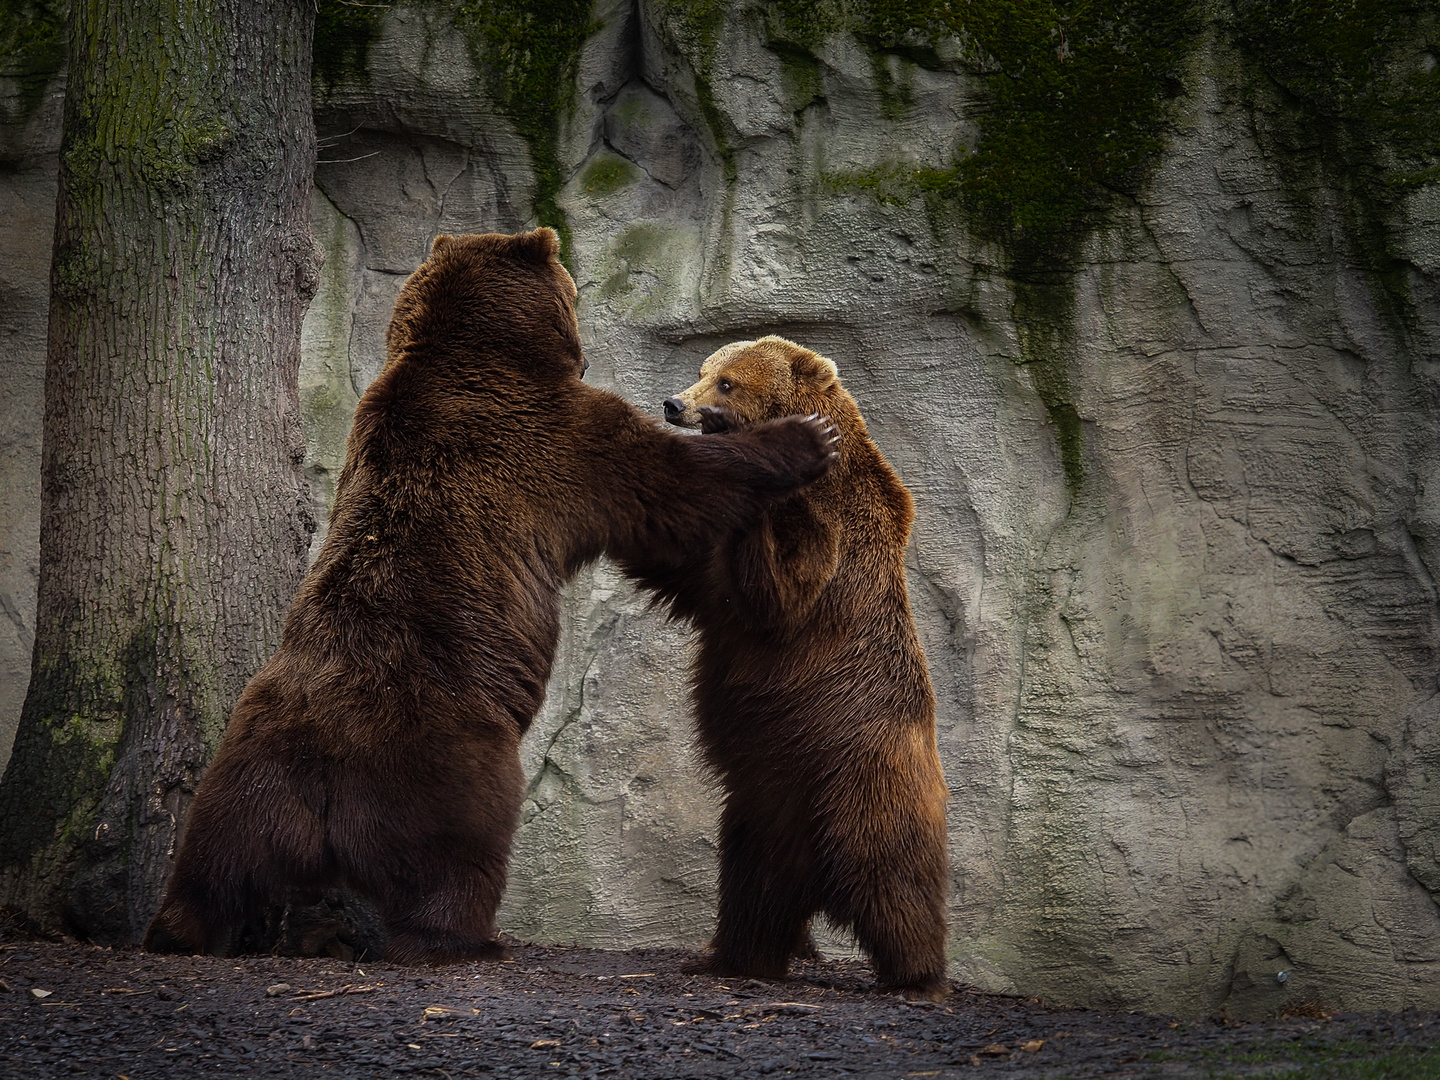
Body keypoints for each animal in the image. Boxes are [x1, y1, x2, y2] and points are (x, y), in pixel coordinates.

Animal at [140, 230, 840, 961]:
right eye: (572, 287)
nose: (588, 329)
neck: (474, 351)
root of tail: (324, 778)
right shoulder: (554, 438)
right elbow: (670, 480)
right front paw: (806, 439)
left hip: (251, 762)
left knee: (217, 856)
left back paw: (176, 926)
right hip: (444, 752)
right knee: (458, 849)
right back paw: (469, 936)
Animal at [636, 339, 950, 1008]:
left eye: (727, 383)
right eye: (703, 371)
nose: (674, 403)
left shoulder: (829, 543)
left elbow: (778, 591)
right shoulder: (711, 573)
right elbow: (683, 556)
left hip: (860, 776)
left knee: (892, 878)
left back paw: (918, 976)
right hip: (764, 809)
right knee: (753, 891)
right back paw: (730, 958)